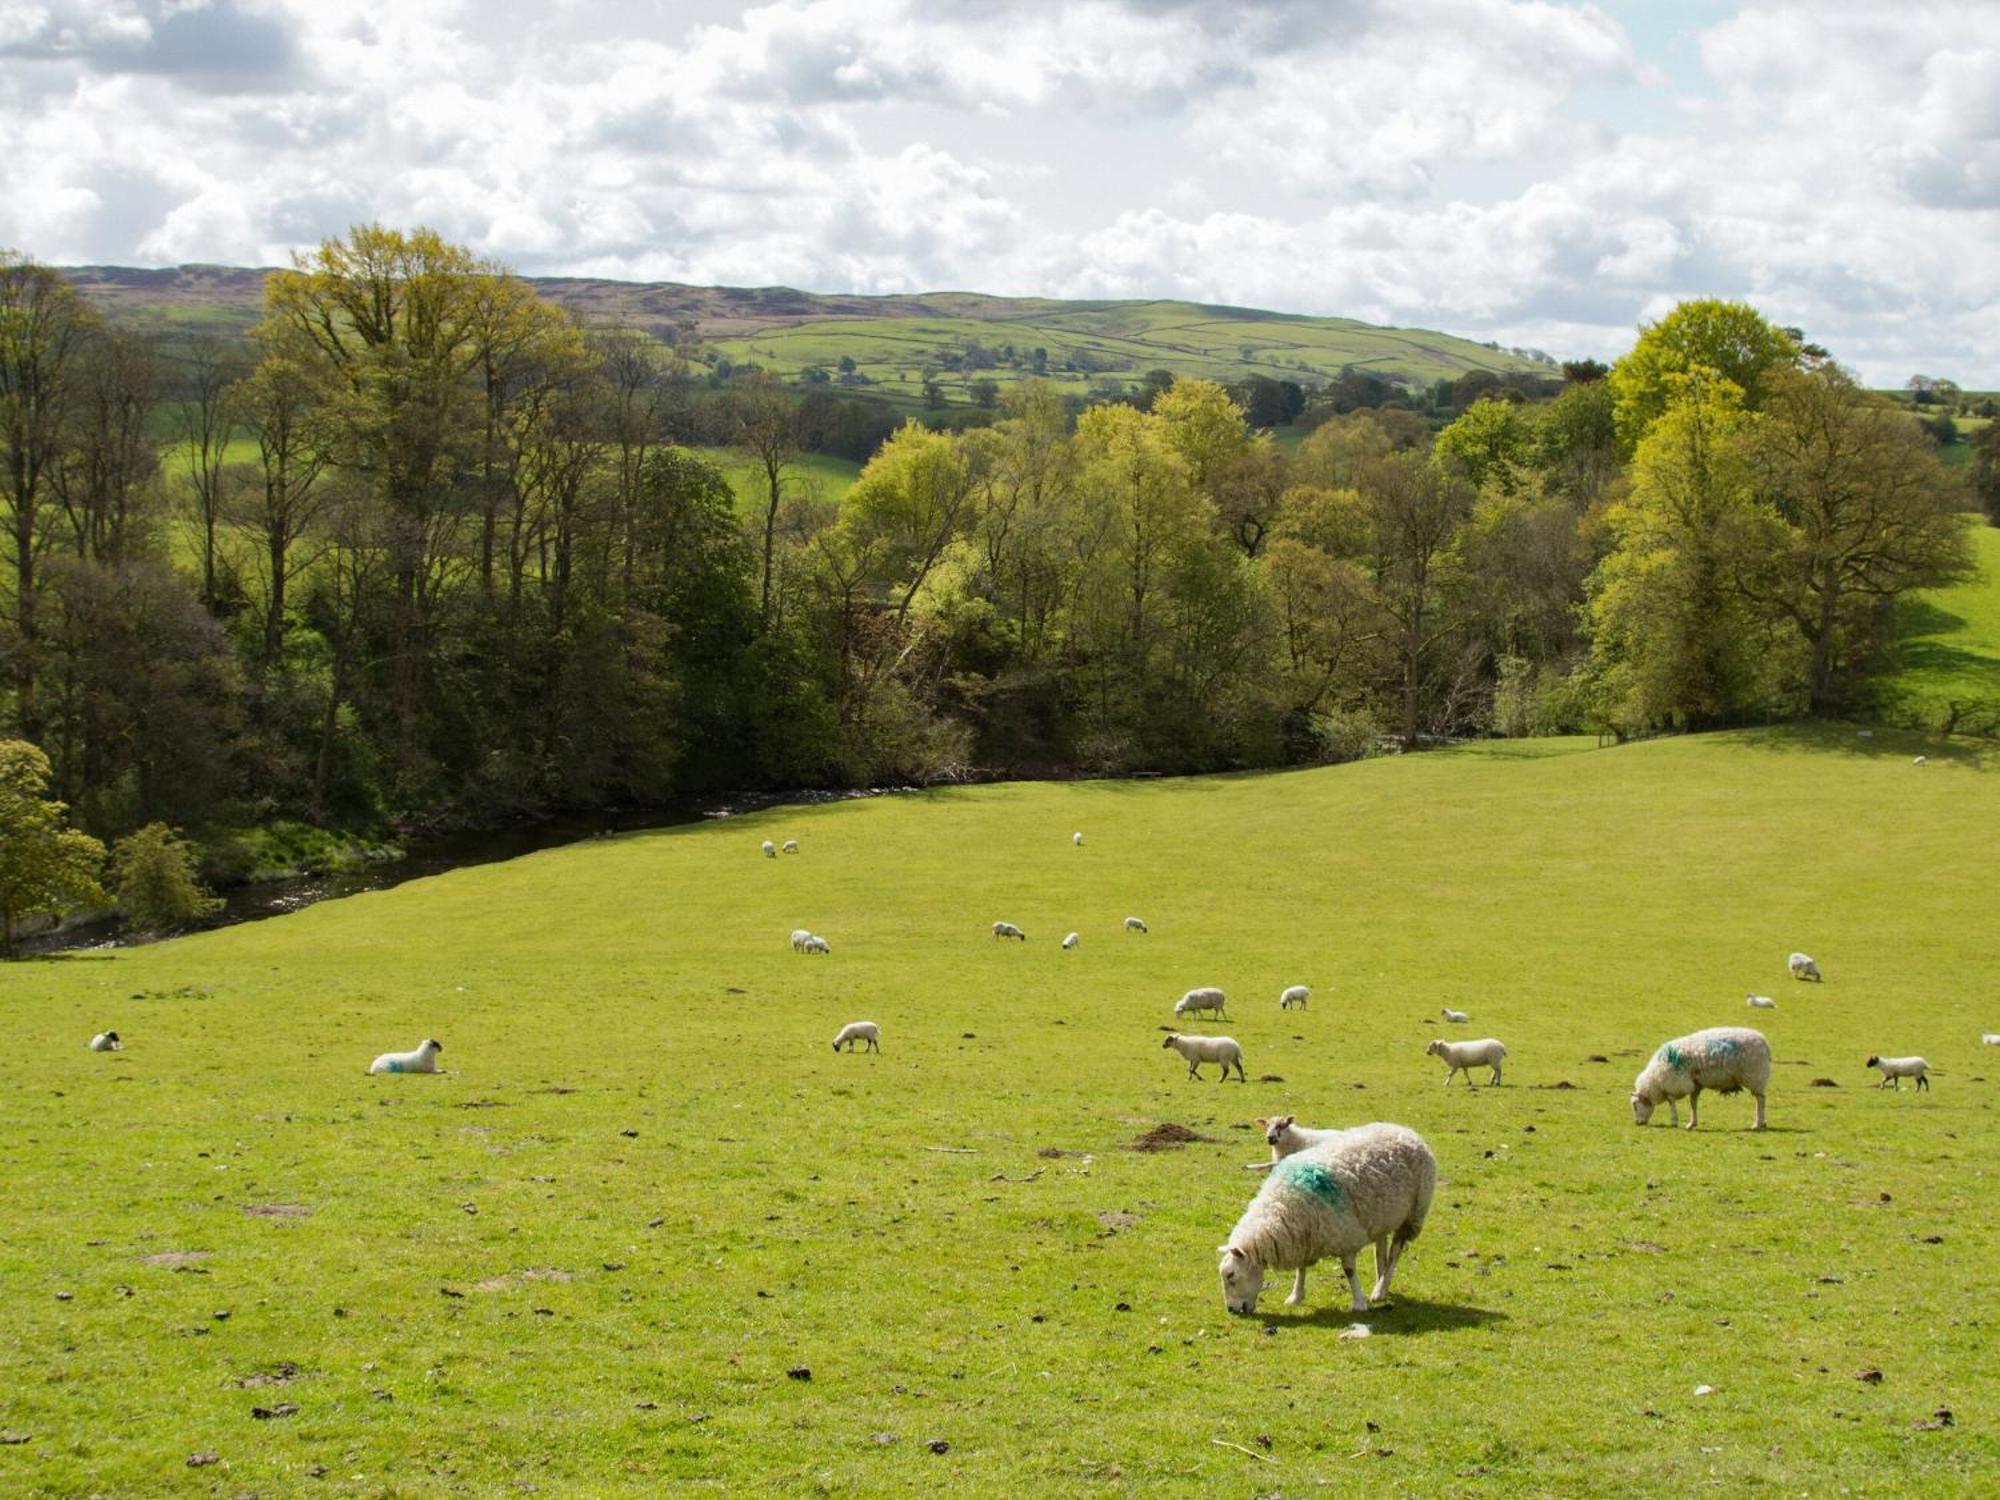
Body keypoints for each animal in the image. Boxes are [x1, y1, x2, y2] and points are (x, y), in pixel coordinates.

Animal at [1208, 1120, 1432, 1320]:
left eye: (1230, 1275)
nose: (1231, 1310)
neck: (1281, 1206)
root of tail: (1404, 1130)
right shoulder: (1303, 1236)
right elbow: (1301, 1269)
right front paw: (1296, 1296)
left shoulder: (1345, 1235)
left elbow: (1349, 1270)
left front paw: (1358, 1303)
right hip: (1382, 1216)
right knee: (1380, 1246)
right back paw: (1379, 1282)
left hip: (1413, 1214)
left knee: (1395, 1252)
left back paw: (1381, 1288)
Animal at [1632, 1032, 1776, 1136]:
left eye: (1635, 1106)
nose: (1637, 1123)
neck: (1655, 1079)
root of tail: (1765, 1043)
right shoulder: (1695, 1084)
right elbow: (1693, 1102)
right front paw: (1692, 1123)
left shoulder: (1674, 1083)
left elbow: (1671, 1101)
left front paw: (1674, 1120)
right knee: (1760, 1099)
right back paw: (1762, 1123)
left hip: (1755, 1076)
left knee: (1761, 1100)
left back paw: (1758, 1124)